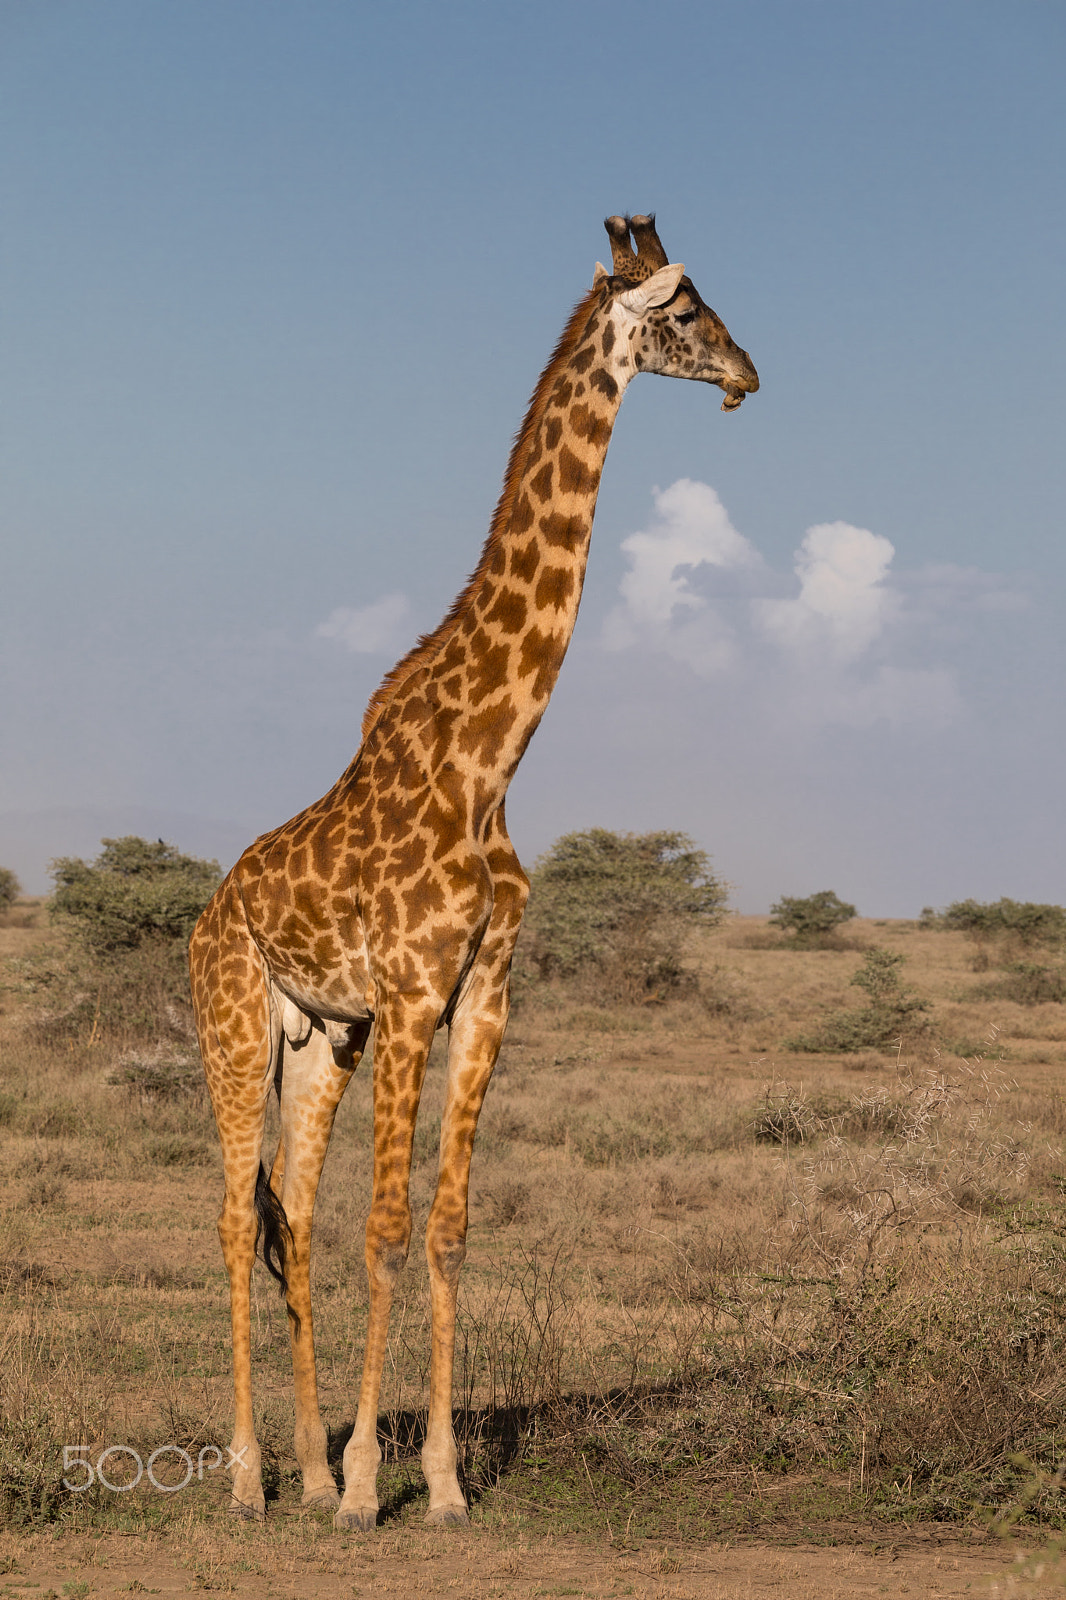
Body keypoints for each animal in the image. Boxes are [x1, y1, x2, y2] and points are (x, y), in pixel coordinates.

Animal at [189, 214, 758, 1530]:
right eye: (685, 309)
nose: (749, 374)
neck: (487, 759)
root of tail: (211, 906)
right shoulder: (410, 991)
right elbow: (388, 1229)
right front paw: (366, 1487)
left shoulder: (483, 995)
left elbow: (445, 1228)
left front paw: (438, 1483)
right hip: (233, 1025)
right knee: (236, 1222)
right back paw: (250, 1479)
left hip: (321, 1040)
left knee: (291, 1210)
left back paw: (299, 1466)